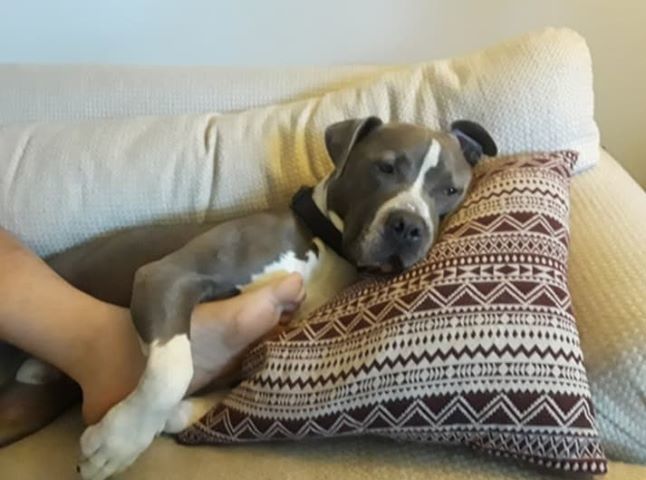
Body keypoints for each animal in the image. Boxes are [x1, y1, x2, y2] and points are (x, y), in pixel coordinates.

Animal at [43, 115, 496, 476]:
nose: (409, 225)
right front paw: (116, 445)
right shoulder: (165, 274)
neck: (326, 244)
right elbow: (171, 370)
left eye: (451, 191)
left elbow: (217, 393)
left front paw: (170, 418)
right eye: (385, 167)